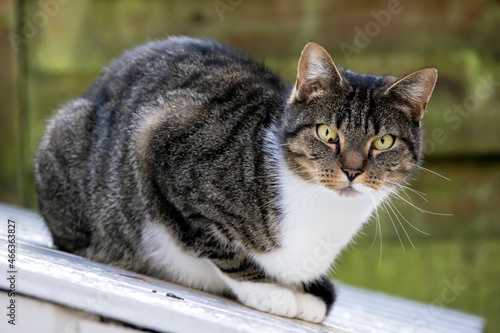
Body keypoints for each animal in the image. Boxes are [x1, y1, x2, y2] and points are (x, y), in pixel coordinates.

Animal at [34, 36, 438, 322]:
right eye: (326, 133)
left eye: (383, 142)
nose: (352, 170)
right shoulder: (160, 142)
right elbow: (215, 243)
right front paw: (269, 292)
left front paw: (303, 294)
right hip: (70, 134)